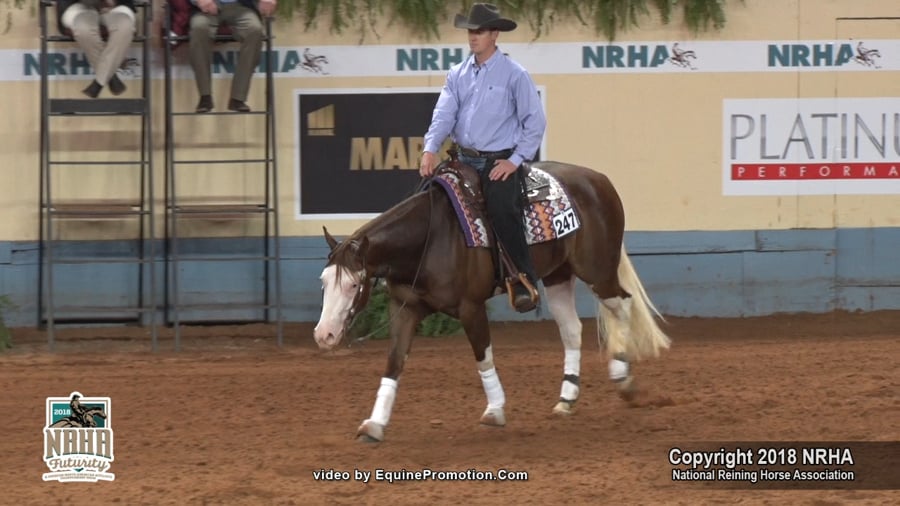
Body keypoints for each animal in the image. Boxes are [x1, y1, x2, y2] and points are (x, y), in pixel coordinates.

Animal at [312, 156, 672, 440]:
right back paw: (567, 398)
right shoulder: (405, 308)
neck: (429, 239)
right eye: (324, 282)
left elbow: (482, 356)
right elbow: (394, 362)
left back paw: (623, 378)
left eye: (353, 285)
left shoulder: (471, 308)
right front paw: (374, 424)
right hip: (558, 276)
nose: (324, 334)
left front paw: (495, 410)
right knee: (572, 330)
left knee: (622, 304)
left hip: (598, 270)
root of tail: (600, 181)